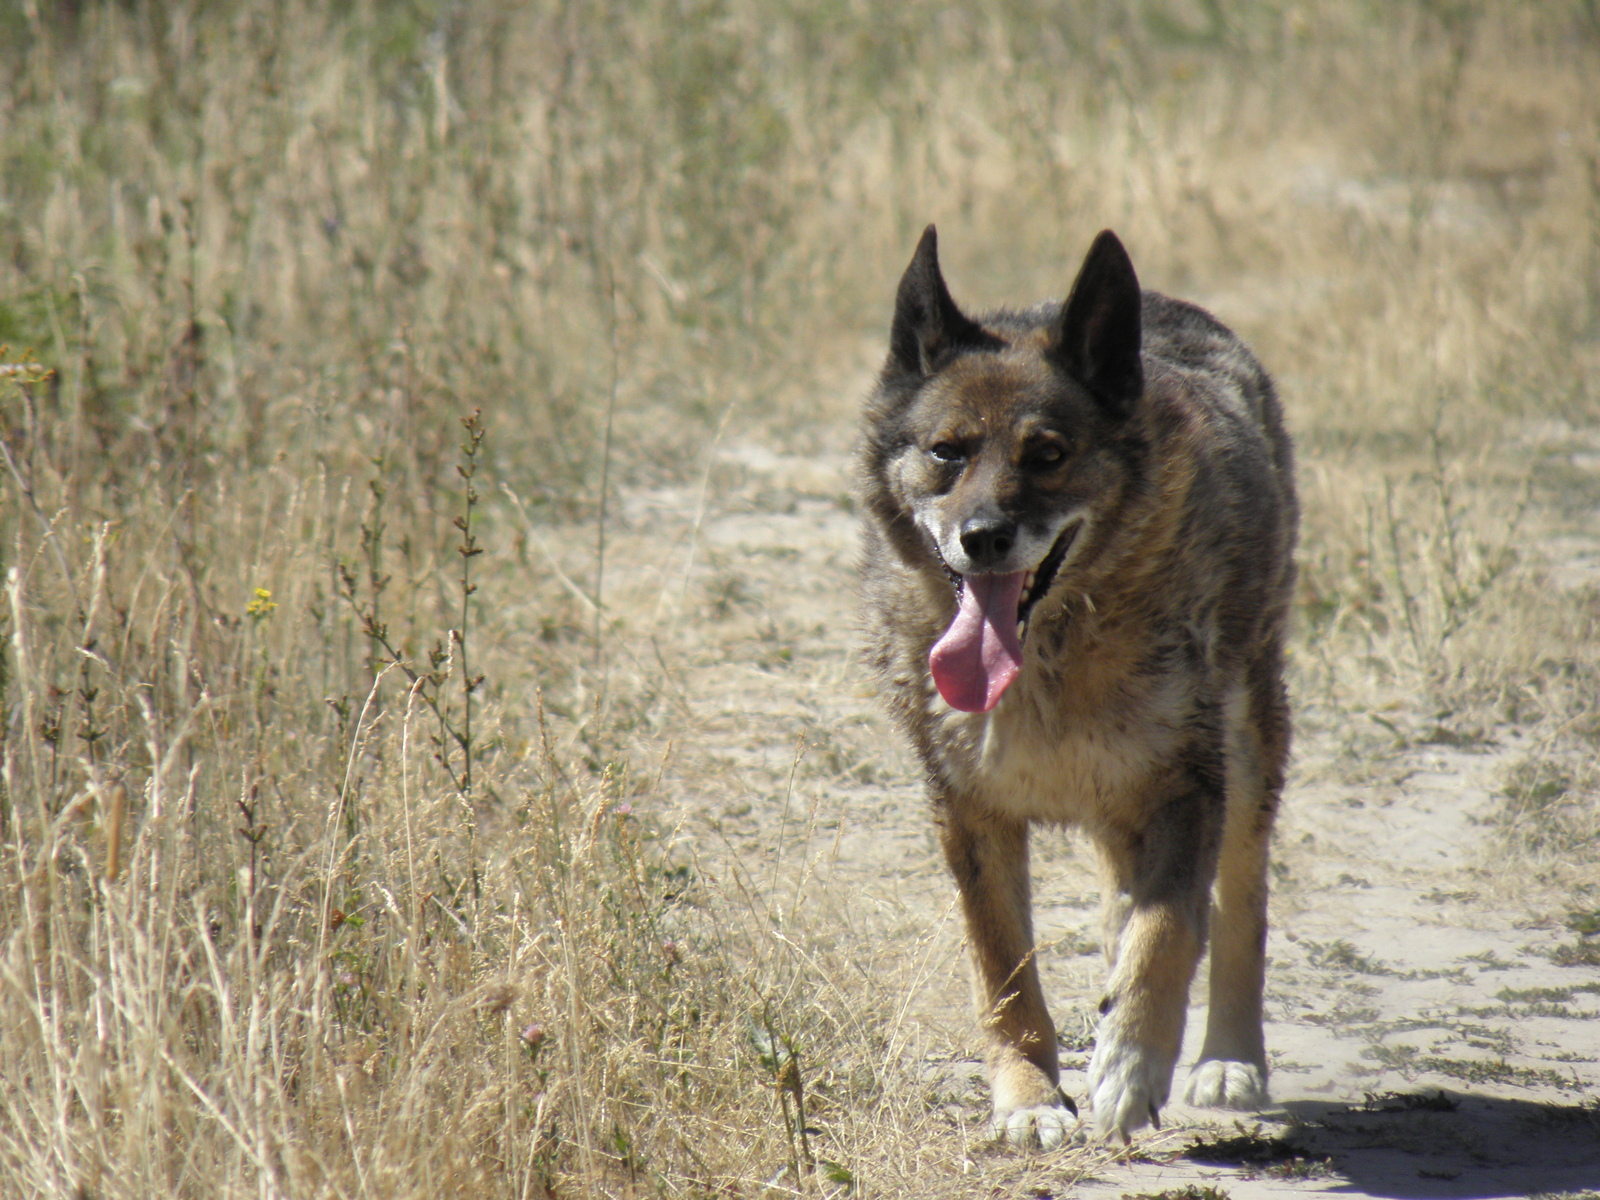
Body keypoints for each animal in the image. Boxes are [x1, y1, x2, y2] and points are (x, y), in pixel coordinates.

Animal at [857, 225, 1292, 1145]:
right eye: (947, 452)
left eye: (1047, 455)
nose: (984, 537)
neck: (1049, 651)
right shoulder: (970, 817)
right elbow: (1004, 971)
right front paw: (1027, 1098)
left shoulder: (1186, 786)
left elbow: (1170, 929)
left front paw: (1132, 1062)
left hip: (1250, 744)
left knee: (1238, 904)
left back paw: (1229, 1058)